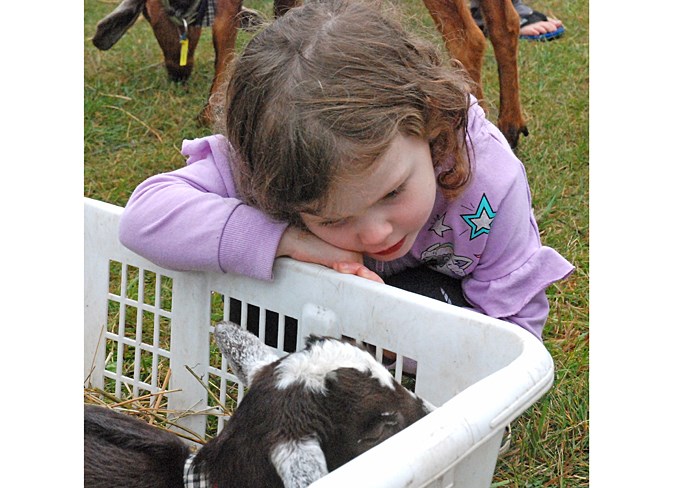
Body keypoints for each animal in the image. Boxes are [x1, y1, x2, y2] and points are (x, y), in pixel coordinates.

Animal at [92, 0, 524, 147]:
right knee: (506, 23)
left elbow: (224, 27)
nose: (176, 72)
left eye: (150, 16)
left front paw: (210, 107)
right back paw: (510, 124)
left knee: (468, 38)